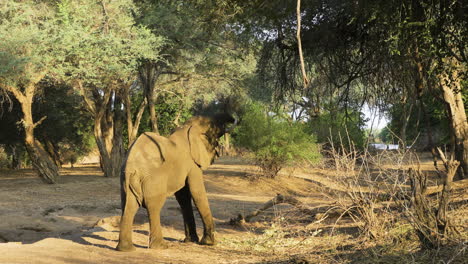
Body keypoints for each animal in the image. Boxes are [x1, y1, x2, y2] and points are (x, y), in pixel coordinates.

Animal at [115, 112, 236, 251]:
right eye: (213, 133)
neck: (187, 128)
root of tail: (131, 167)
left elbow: (183, 197)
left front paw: (190, 241)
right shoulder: (192, 164)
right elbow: (196, 192)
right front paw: (209, 243)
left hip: (126, 179)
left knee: (128, 205)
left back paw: (126, 249)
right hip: (153, 179)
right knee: (153, 206)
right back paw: (161, 246)